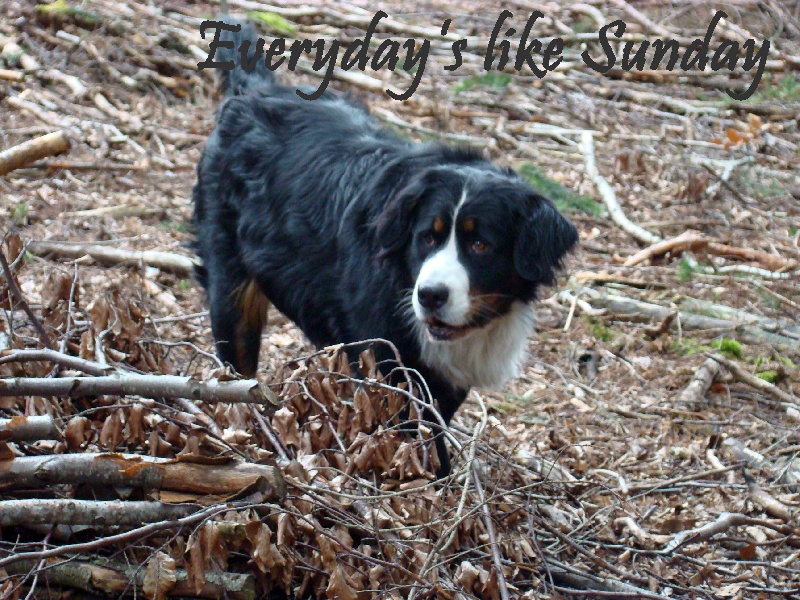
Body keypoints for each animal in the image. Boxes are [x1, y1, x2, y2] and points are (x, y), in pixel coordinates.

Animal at [194, 19, 580, 474]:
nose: (430, 295)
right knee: (235, 357)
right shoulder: (385, 356)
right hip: (232, 282)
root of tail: (253, 93)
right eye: (427, 237)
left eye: (480, 244)